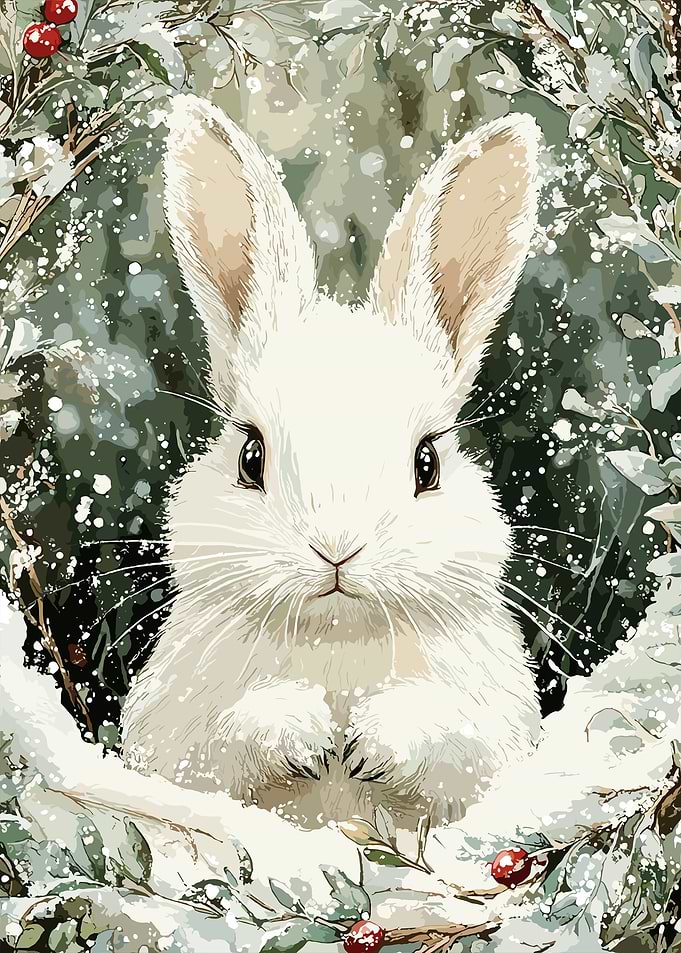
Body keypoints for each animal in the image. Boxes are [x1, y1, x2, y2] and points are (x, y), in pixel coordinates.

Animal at [120, 93, 542, 830]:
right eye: (250, 456)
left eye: (427, 464)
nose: (337, 549)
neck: (337, 642)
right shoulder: (173, 747)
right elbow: (216, 750)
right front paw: (305, 734)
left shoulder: (493, 742)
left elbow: (461, 749)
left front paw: (373, 740)